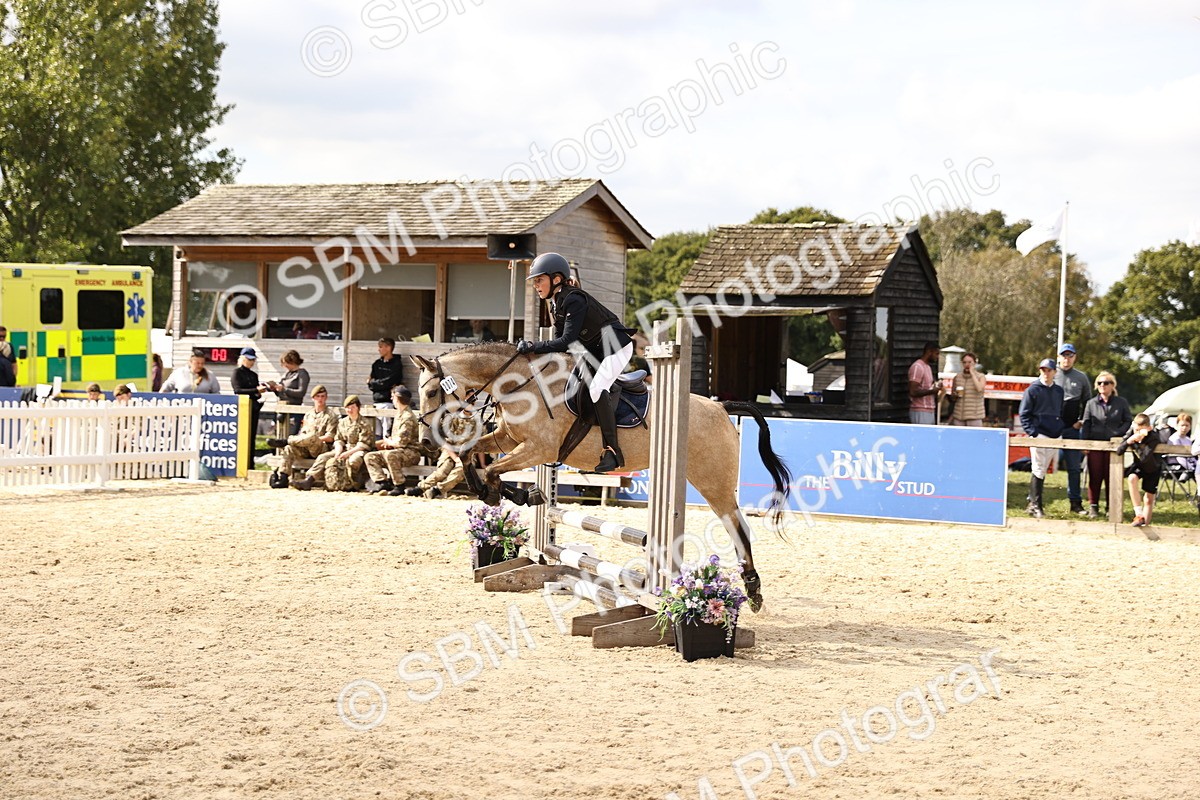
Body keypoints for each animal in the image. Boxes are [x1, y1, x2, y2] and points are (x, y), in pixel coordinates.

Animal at [411, 341, 792, 611]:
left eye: (430, 392)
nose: (426, 441)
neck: (520, 384)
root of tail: (721, 407)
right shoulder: (508, 438)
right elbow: (468, 454)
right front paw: (505, 493)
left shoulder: (540, 449)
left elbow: (491, 467)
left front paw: (513, 494)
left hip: (713, 481)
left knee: (737, 526)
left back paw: (752, 591)